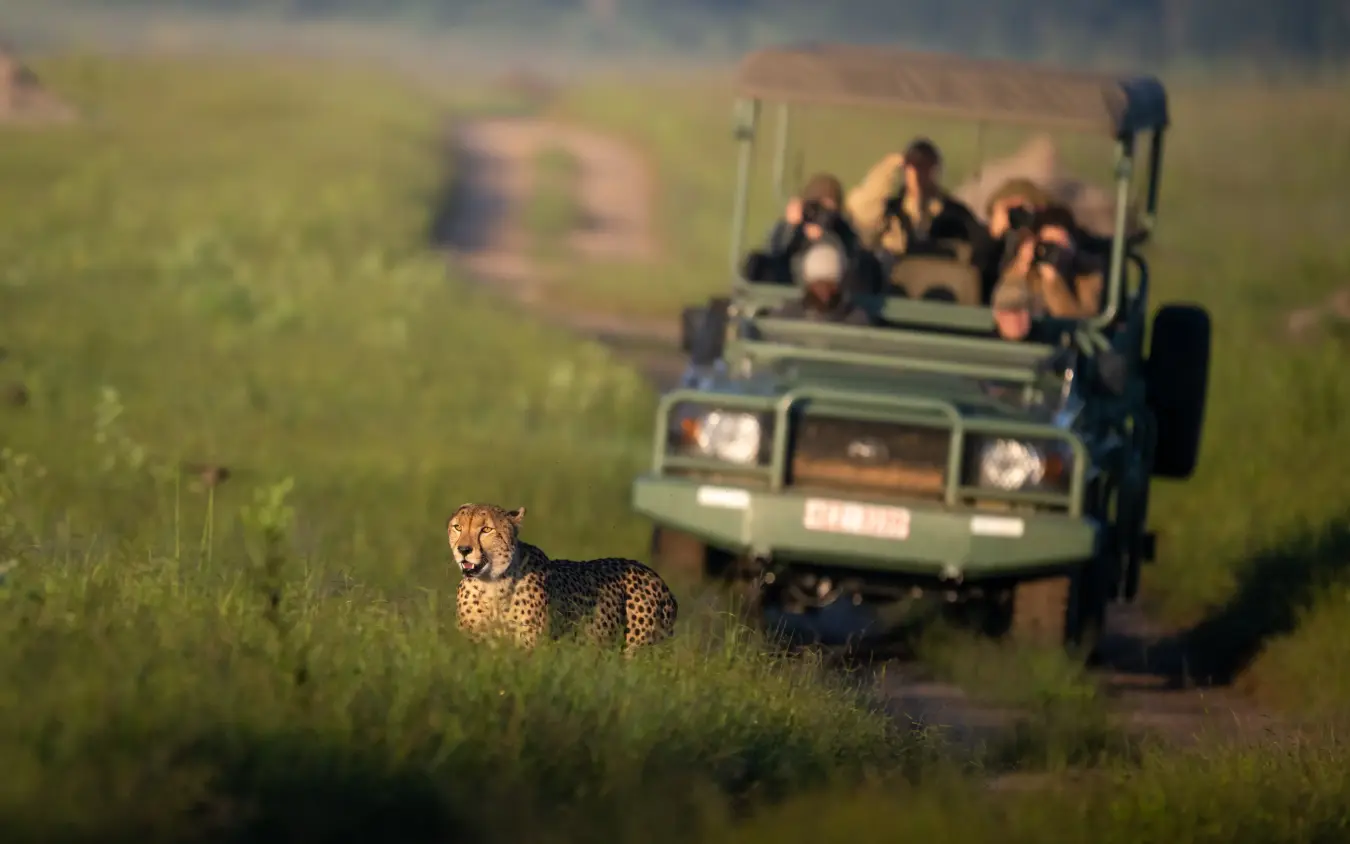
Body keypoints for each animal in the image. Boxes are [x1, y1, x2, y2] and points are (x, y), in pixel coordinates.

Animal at [449, 503, 678, 654]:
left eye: (486, 529)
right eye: (458, 527)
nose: (464, 550)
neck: (491, 584)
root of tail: (654, 575)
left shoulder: (530, 648)